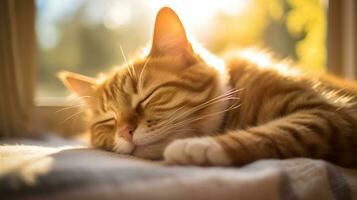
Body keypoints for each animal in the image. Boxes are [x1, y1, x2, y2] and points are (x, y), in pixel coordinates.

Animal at [59, 7, 356, 167]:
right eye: (108, 120)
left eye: (147, 97)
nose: (124, 132)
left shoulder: (331, 114)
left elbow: (277, 133)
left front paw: (201, 146)